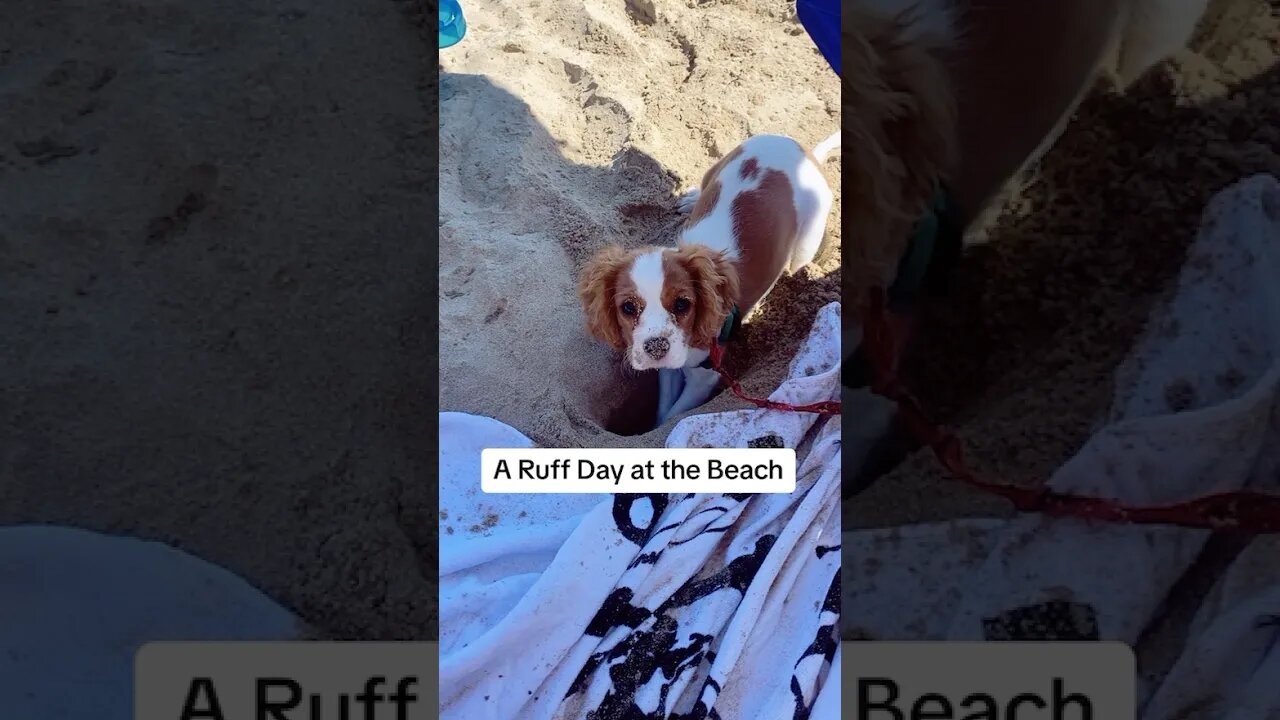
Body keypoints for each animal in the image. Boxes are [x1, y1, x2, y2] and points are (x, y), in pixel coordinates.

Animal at [581, 132, 839, 422]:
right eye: (628, 308)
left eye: (683, 304)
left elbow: (674, 415)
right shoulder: (671, 366)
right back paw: (692, 199)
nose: (656, 347)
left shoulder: (703, 378)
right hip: (718, 167)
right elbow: (664, 408)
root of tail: (803, 150)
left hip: (806, 243)